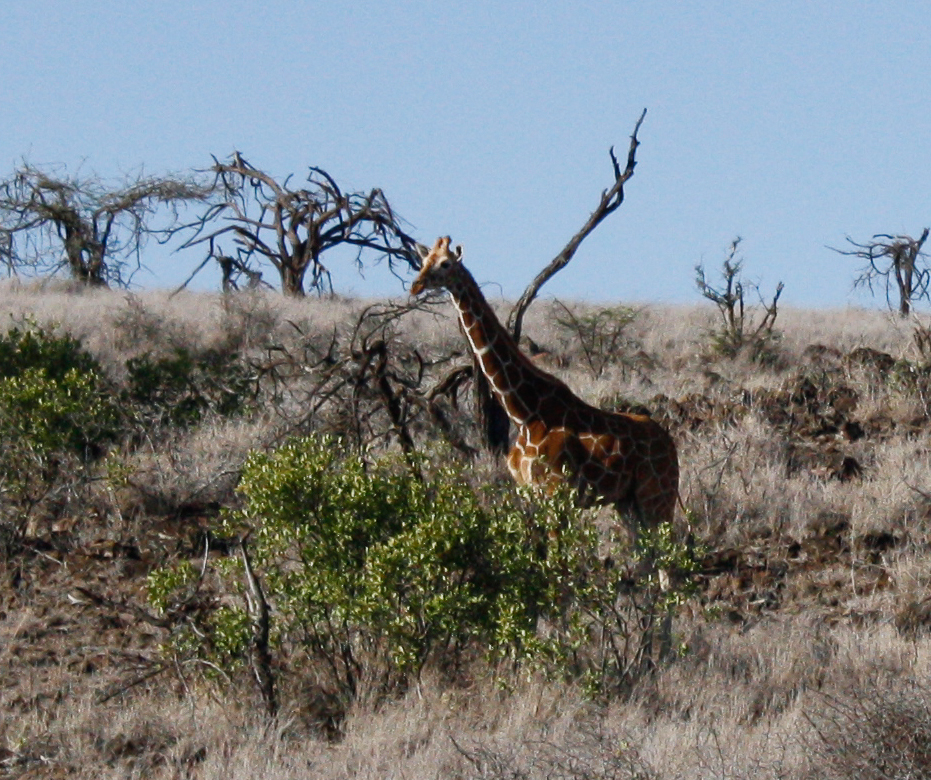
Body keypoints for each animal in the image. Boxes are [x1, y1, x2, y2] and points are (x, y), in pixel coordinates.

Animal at [412, 235, 680, 544]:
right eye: (423, 261)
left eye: (445, 264)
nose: (416, 285)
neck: (524, 412)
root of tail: (671, 445)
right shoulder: (530, 492)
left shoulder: (557, 492)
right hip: (627, 503)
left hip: (657, 496)